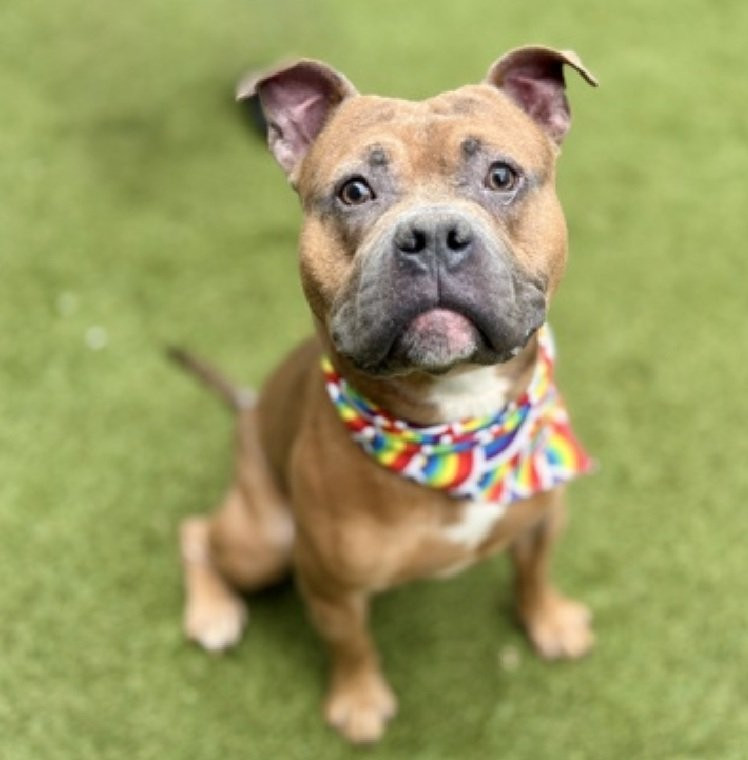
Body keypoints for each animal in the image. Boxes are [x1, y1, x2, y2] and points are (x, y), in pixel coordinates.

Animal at [178, 46, 597, 744]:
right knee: (197, 534)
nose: (432, 236)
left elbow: (534, 571)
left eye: (501, 176)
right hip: (264, 539)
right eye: (354, 191)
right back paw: (212, 612)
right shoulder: (329, 586)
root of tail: (249, 410)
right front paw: (359, 701)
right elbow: (351, 645)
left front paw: (549, 619)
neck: (458, 424)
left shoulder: (545, 515)